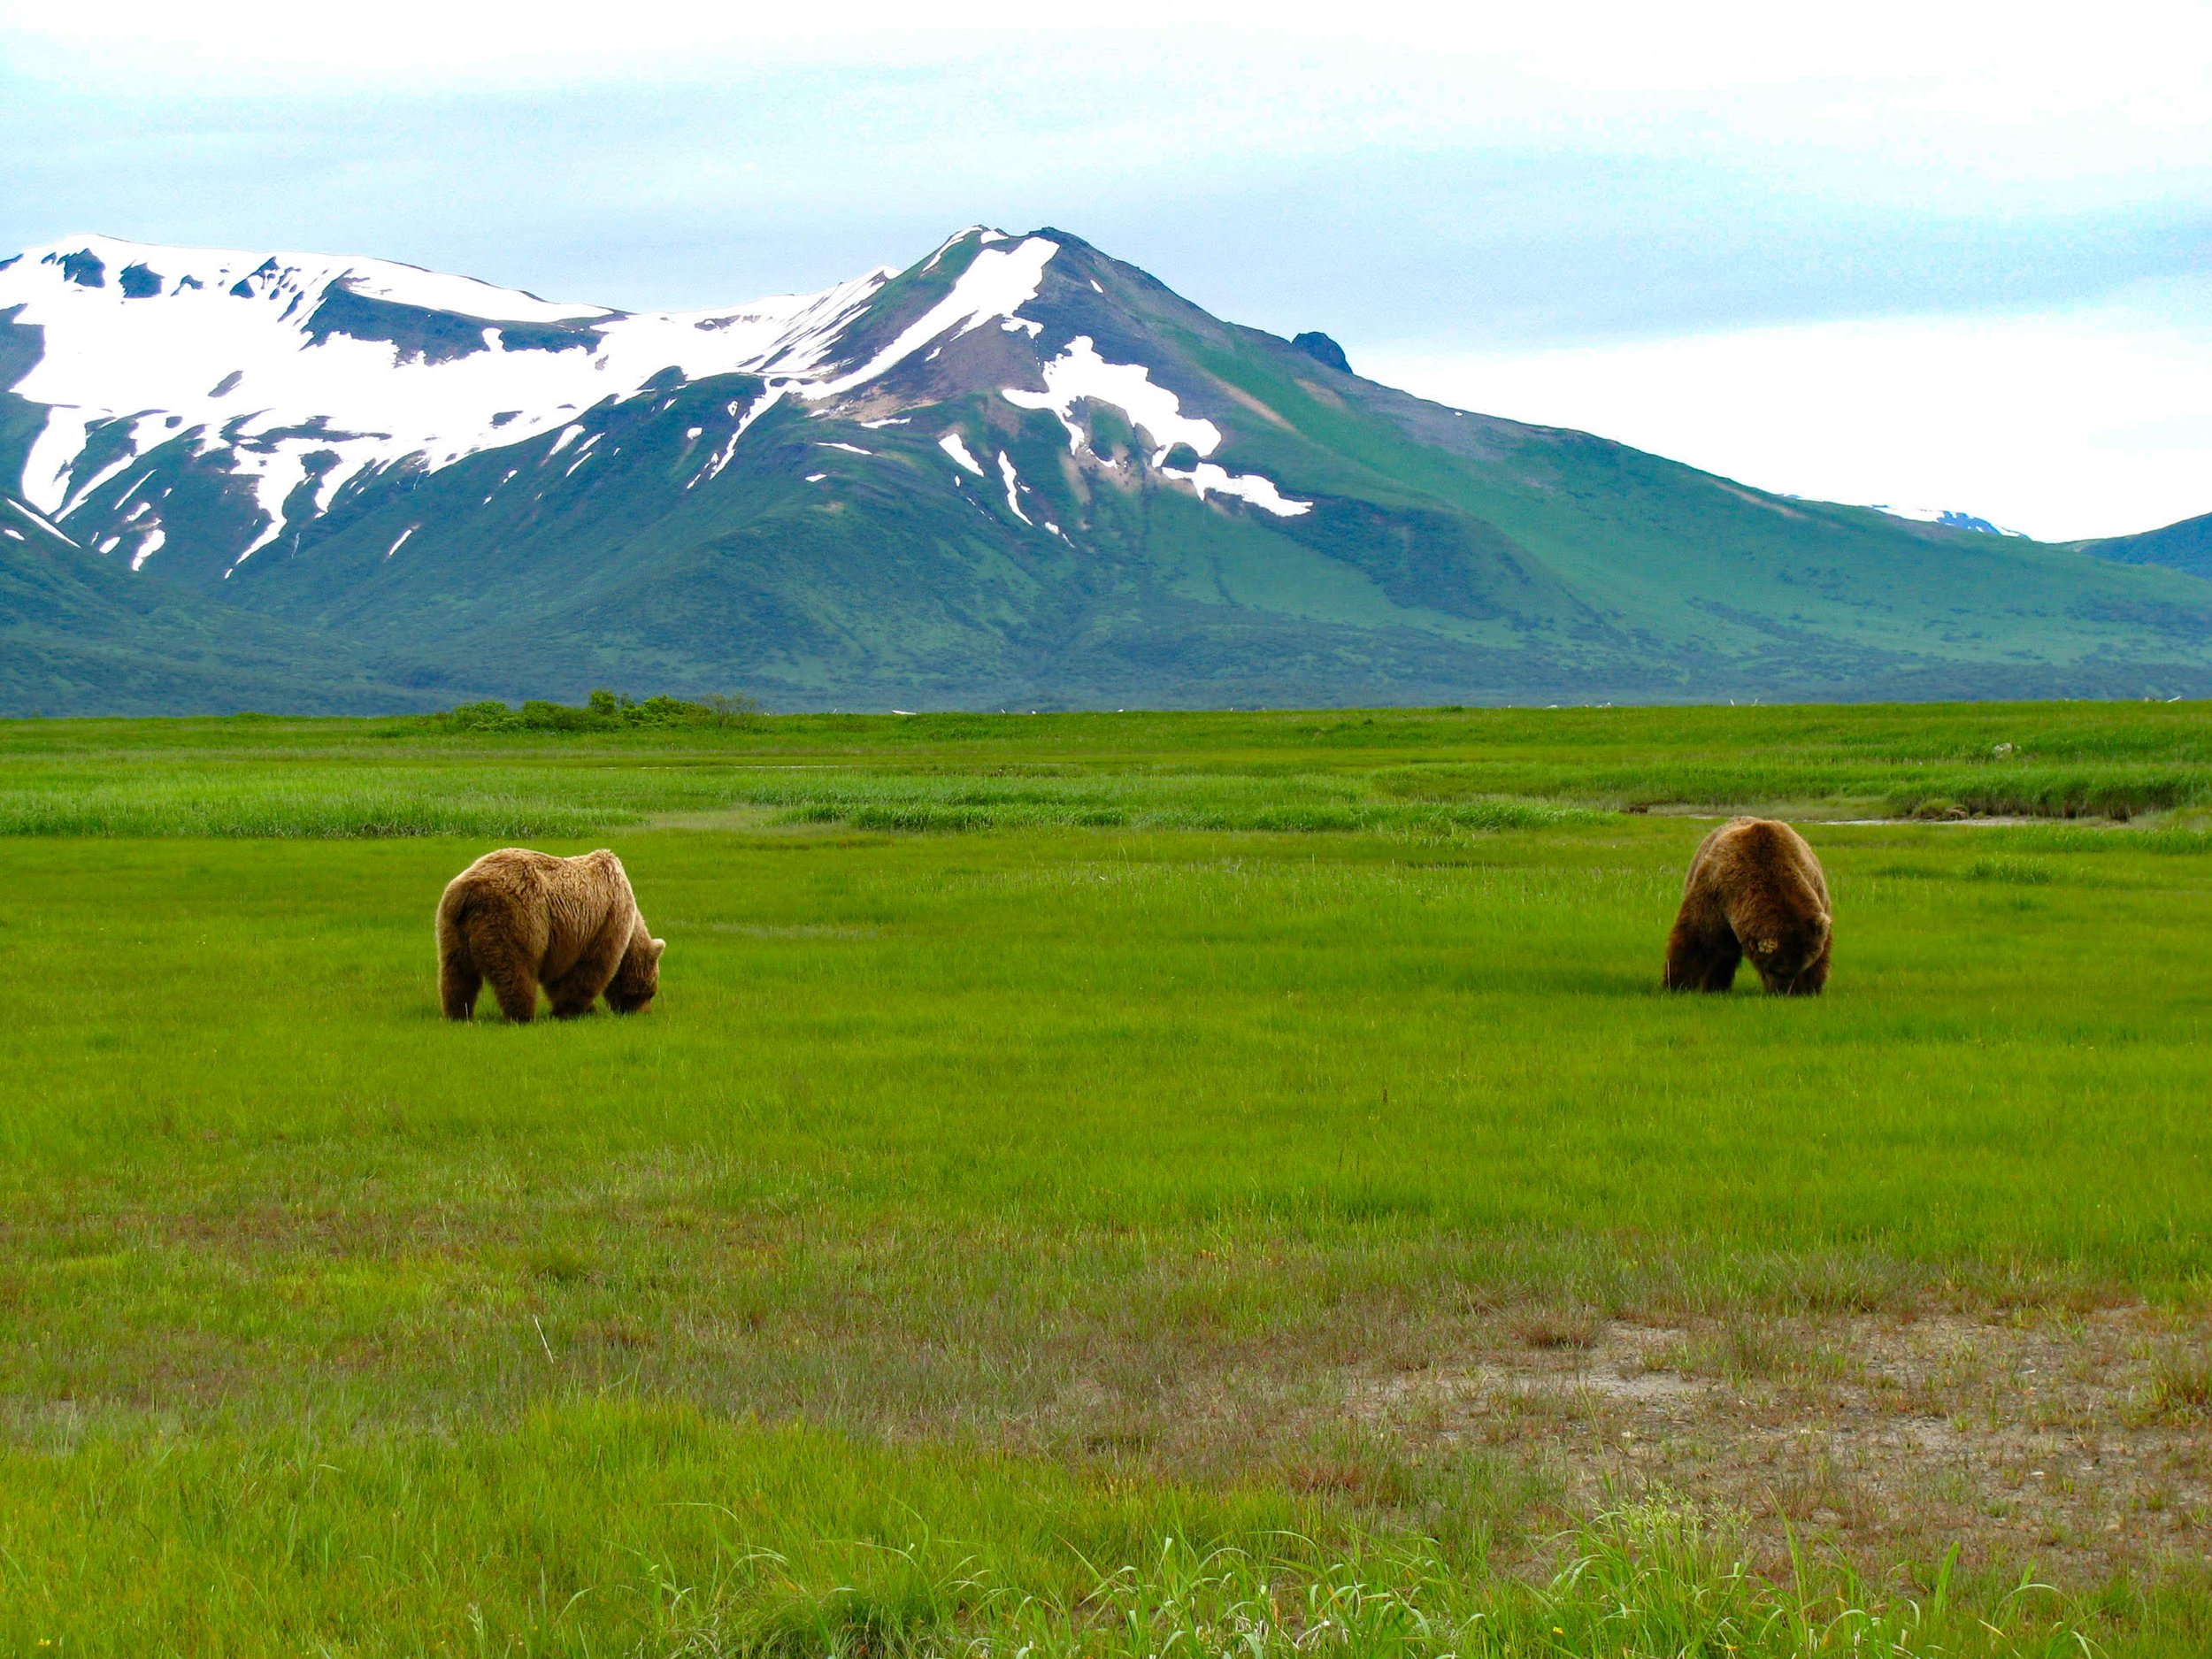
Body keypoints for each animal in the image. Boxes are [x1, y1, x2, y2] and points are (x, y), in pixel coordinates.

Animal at [438, 849, 659, 1022]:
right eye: (650, 992)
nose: (644, 1013)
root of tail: (469, 889)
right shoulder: (607, 920)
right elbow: (592, 968)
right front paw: (576, 1010)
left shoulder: (566, 940)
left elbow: (560, 977)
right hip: (515, 917)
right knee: (515, 968)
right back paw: (522, 1015)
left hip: (453, 926)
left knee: (457, 973)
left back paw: (458, 1014)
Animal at [1663, 814, 1832, 995]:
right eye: (1775, 969)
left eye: (1798, 969)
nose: (1783, 991)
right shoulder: (1715, 891)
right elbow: (1697, 938)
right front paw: (1678, 984)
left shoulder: (1814, 888)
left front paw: (1808, 988)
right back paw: (1715, 986)